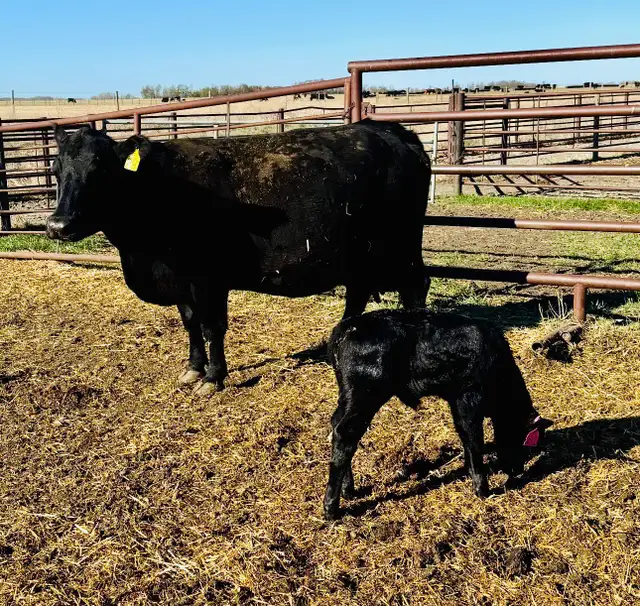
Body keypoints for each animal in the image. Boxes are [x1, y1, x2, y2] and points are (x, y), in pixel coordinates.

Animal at [46, 121, 431, 395]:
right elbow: (190, 322)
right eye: (55, 169)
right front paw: (193, 369)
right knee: (358, 292)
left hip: (401, 245)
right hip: (359, 252)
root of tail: (388, 131)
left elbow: (212, 325)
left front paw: (213, 378)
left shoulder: (208, 277)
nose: (58, 225)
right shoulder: (179, 278)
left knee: (415, 285)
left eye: (101, 169)